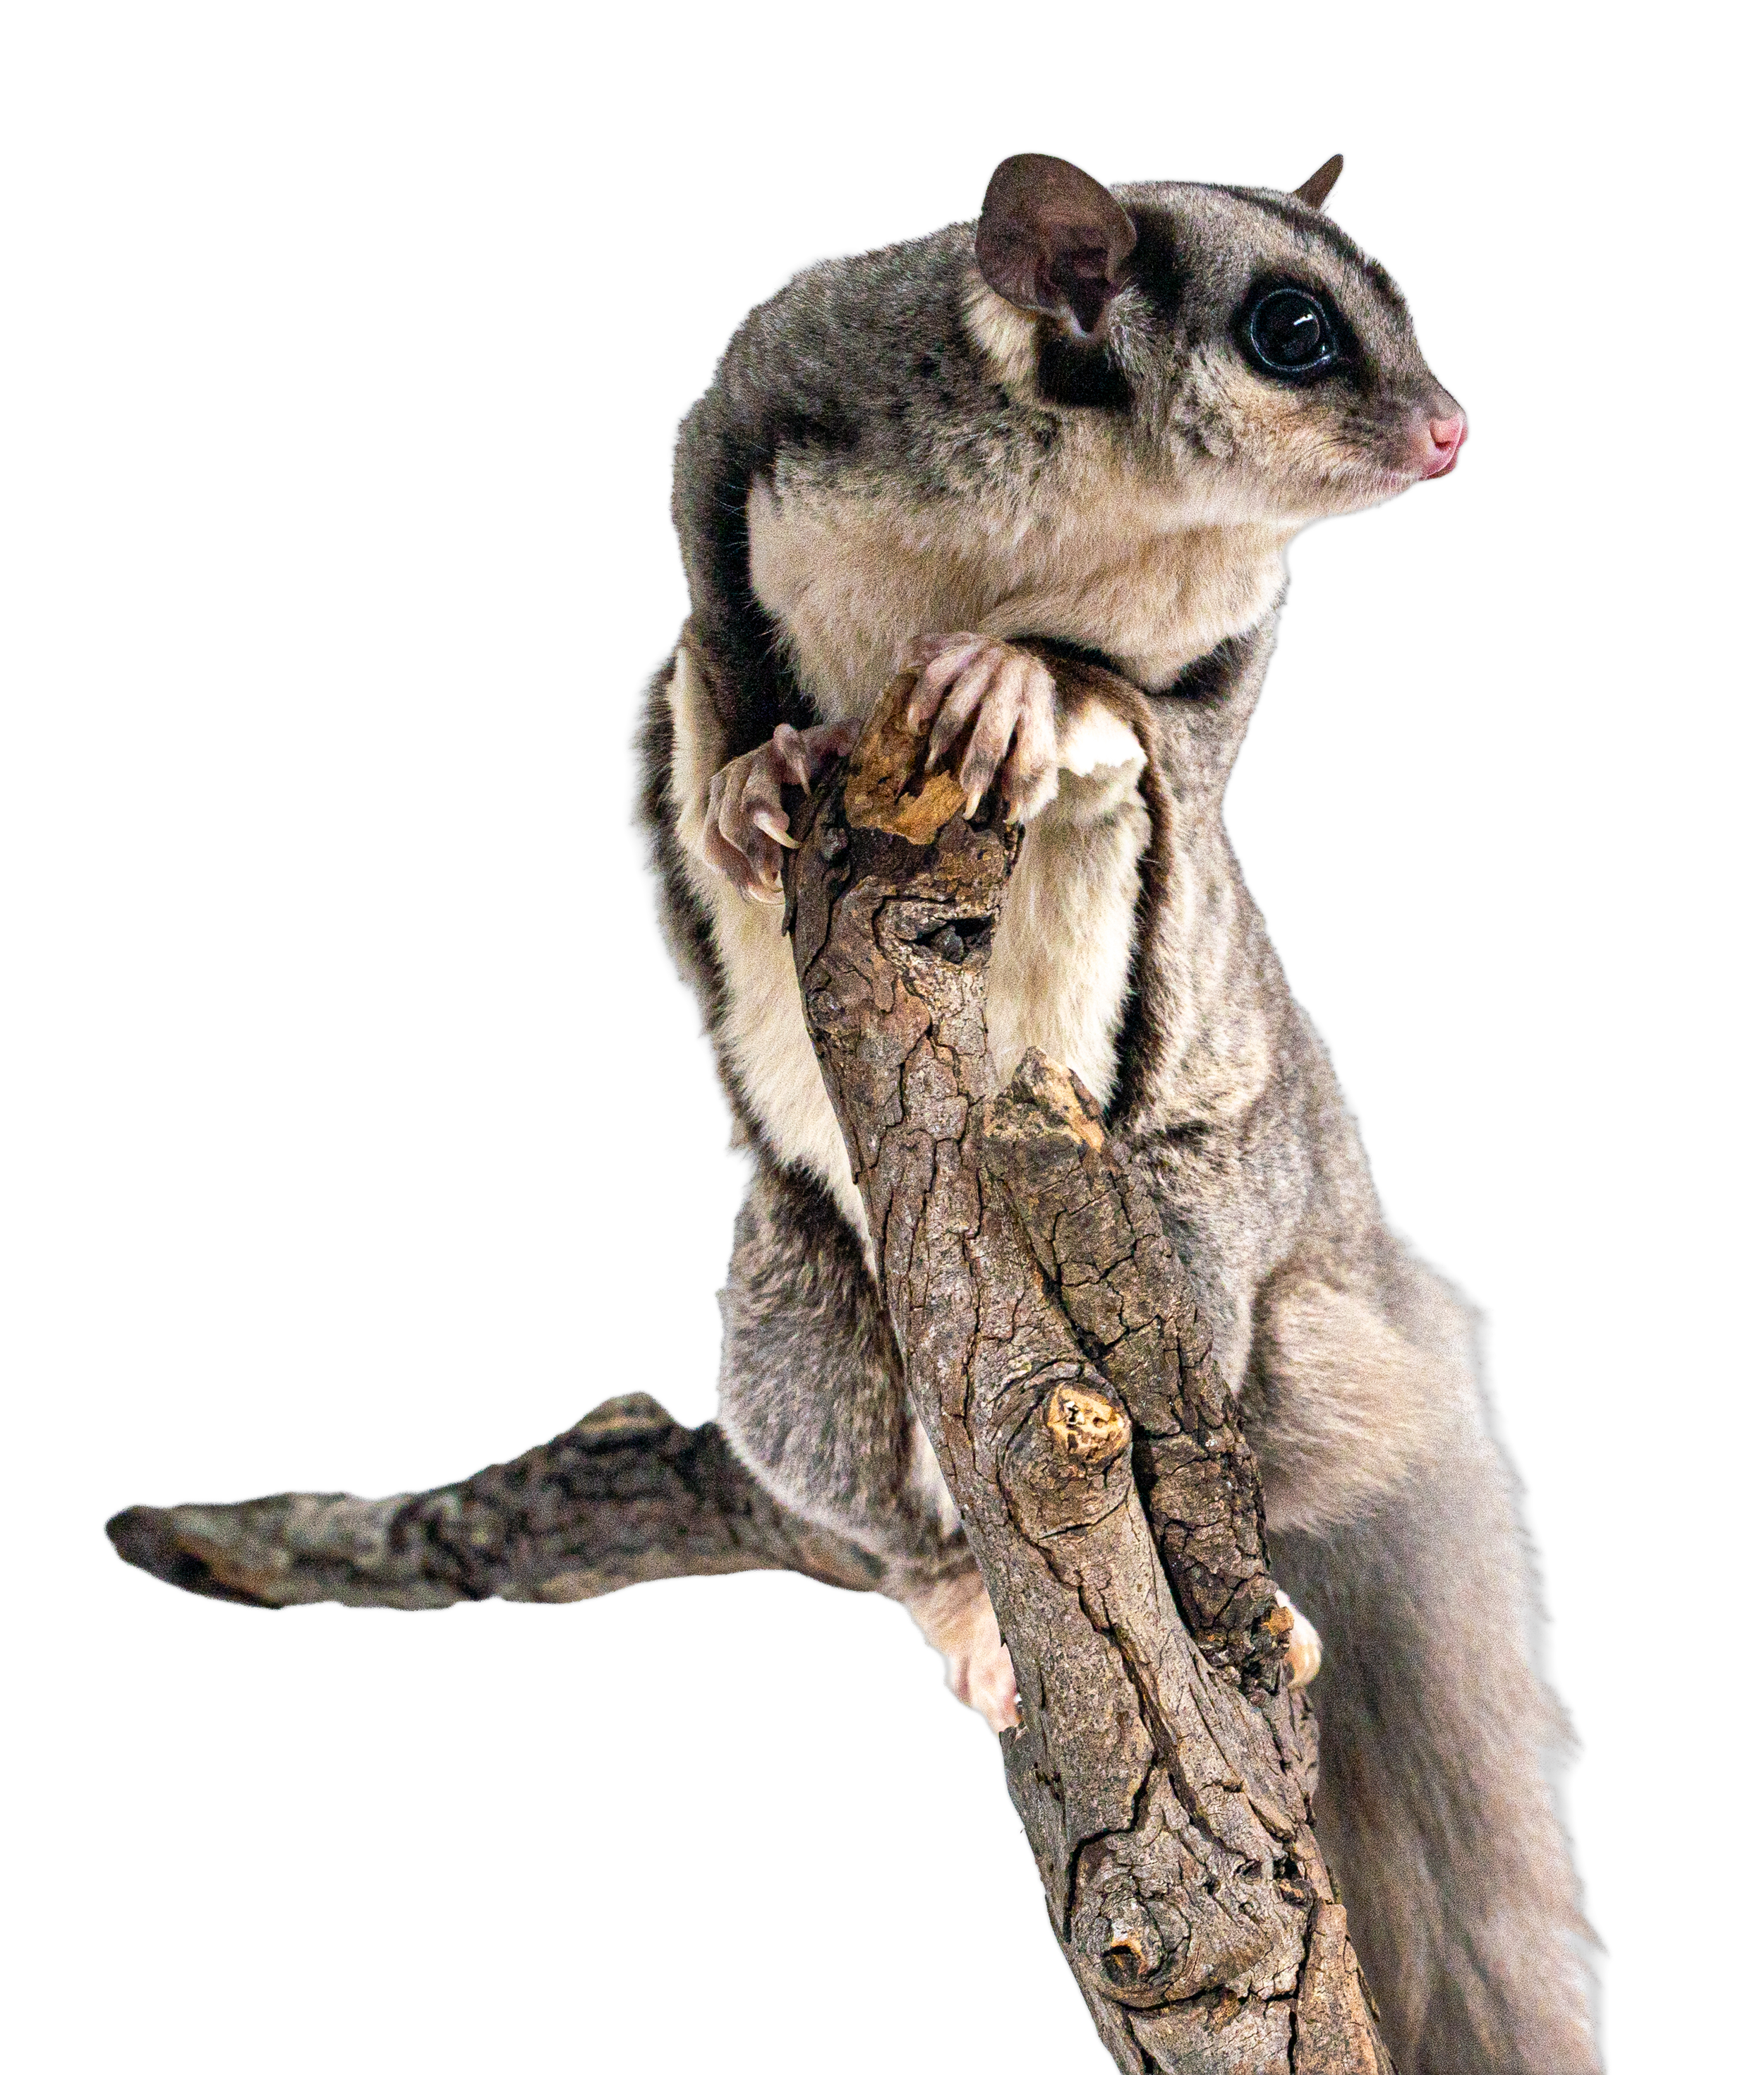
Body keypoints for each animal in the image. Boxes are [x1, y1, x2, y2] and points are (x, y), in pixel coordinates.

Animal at [625, 154, 1603, 2073]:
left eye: (1388, 304)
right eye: (1292, 330)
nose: (1452, 429)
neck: (1094, 499)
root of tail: (1370, 1262)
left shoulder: (1229, 633)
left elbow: (1164, 735)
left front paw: (1025, 687)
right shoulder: (781, 389)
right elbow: (704, 602)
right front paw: (754, 780)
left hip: (1212, 1256)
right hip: (803, 1309)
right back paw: (968, 1609)